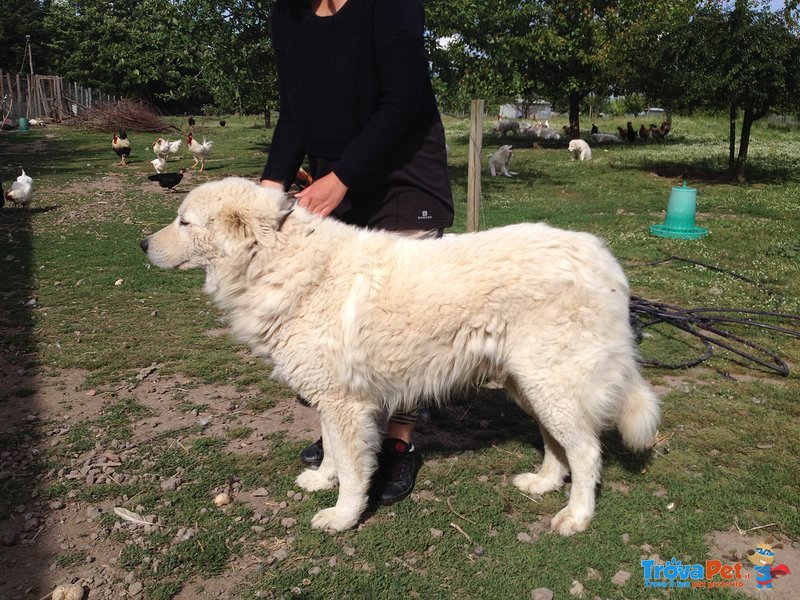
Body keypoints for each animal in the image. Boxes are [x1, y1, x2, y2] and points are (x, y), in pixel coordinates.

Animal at [141, 177, 660, 536]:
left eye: (184, 222)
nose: (143, 244)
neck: (275, 262)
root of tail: (605, 260)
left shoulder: (347, 405)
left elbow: (355, 470)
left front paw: (342, 517)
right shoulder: (331, 396)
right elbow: (333, 452)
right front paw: (322, 481)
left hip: (551, 382)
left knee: (587, 450)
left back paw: (577, 514)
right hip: (530, 383)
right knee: (557, 441)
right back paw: (545, 482)